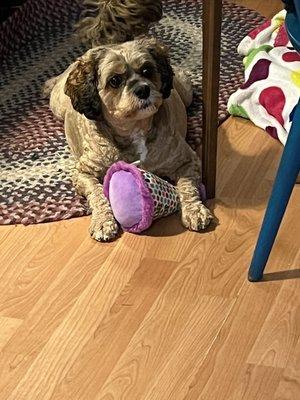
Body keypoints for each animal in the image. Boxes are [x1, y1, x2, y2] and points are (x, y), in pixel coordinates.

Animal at [46, 36, 211, 241]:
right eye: (114, 80)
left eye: (147, 70)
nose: (143, 89)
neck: (134, 129)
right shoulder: (82, 173)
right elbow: (97, 193)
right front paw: (102, 221)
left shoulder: (188, 160)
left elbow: (187, 185)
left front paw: (195, 210)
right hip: (57, 104)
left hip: (185, 93)